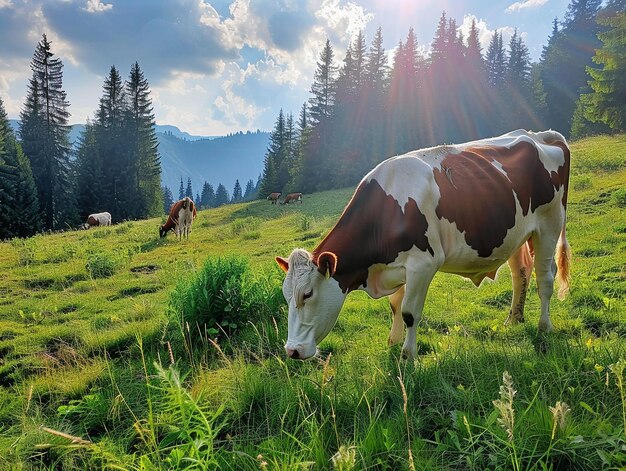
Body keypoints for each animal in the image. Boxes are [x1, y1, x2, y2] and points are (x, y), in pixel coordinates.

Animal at [276, 131, 568, 360]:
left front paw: (408, 356)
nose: (292, 351)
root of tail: (539, 134)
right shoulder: (395, 267)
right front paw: (392, 343)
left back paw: (544, 326)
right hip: (516, 235)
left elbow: (409, 313)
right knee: (521, 273)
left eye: (308, 294)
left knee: (545, 278)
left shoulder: (422, 265)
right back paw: (514, 319)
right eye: (286, 295)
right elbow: (395, 305)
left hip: (550, 224)